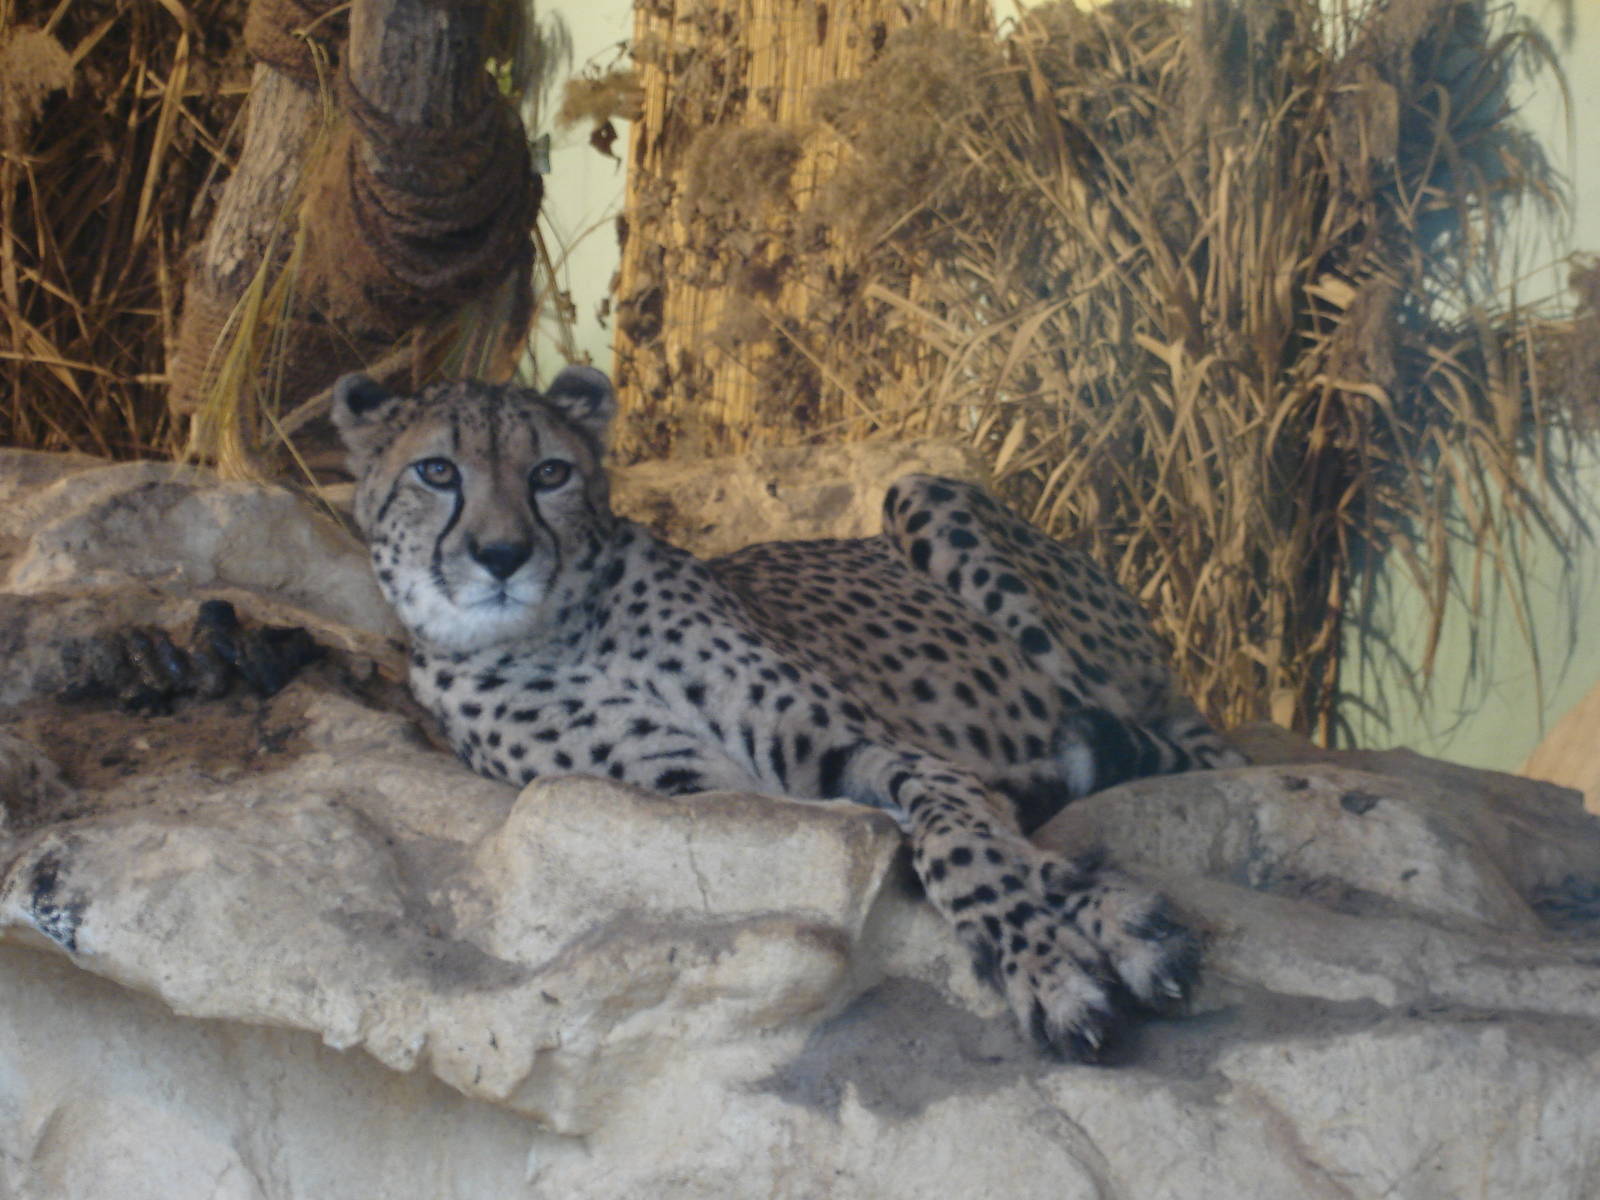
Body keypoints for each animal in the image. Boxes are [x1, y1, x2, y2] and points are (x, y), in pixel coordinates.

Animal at [332, 365, 1245, 1060]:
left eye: (549, 473)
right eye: (438, 473)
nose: (501, 555)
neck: (562, 628)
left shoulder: (863, 752)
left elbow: (971, 845)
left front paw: (1069, 952)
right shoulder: (716, 802)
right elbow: (969, 846)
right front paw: (1070, 953)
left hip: (924, 499)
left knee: (1206, 748)